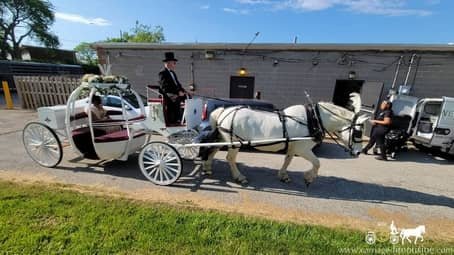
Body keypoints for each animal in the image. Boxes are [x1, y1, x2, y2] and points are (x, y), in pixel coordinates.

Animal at [202, 93, 368, 185]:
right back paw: (239, 177)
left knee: (213, 149)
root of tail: (225, 111)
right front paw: (308, 178)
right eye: (358, 132)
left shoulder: (293, 147)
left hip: (224, 139)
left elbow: (288, 160)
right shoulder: (303, 149)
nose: (358, 153)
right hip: (235, 143)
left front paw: (283, 176)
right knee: (230, 158)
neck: (313, 119)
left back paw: (207, 168)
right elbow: (317, 163)